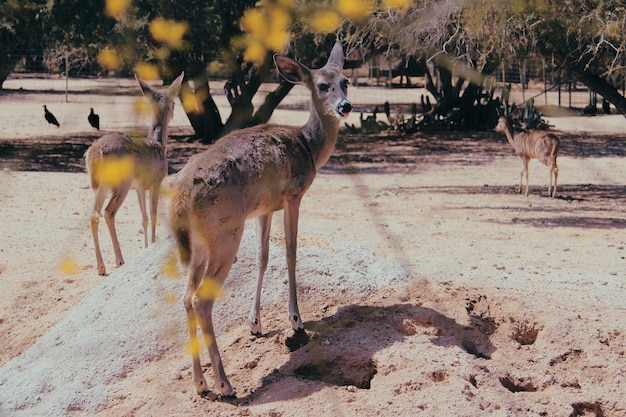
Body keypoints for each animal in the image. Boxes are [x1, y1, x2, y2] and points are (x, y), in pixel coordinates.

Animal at [84, 72, 183, 274]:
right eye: (174, 103)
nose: (174, 112)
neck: (160, 144)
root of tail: (95, 152)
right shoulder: (156, 181)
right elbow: (153, 215)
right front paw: (151, 245)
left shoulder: (139, 187)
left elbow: (144, 217)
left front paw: (145, 248)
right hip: (122, 182)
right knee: (108, 212)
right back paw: (119, 260)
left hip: (101, 185)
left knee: (94, 213)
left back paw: (101, 266)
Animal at [171, 42, 352, 396]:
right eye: (322, 85)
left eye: (346, 81)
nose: (345, 106)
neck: (308, 146)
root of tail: (180, 202)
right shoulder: (293, 194)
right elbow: (292, 252)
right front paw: (296, 320)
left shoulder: (265, 208)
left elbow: (263, 256)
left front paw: (255, 324)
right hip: (226, 231)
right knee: (201, 299)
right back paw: (225, 384)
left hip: (200, 245)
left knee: (186, 296)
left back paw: (200, 384)